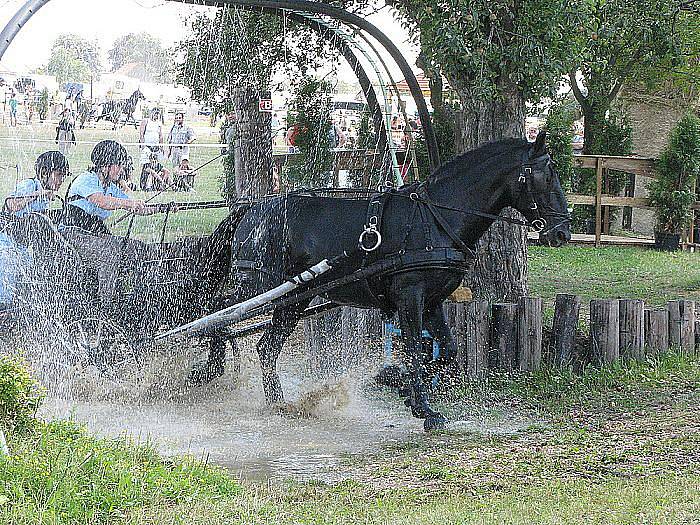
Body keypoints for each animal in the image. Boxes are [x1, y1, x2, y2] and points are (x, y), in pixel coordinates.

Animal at [189, 133, 572, 428]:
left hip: (295, 297)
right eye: (544, 177)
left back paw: (278, 403)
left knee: (265, 347)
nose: (562, 232)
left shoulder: (433, 301)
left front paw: (399, 385)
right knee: (215, 312)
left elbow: (447, 351)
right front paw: (423, 407)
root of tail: (251, 208)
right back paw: (207, 367)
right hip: (260, 285)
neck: (437, 217)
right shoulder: (410, 296)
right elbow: (415, 348)